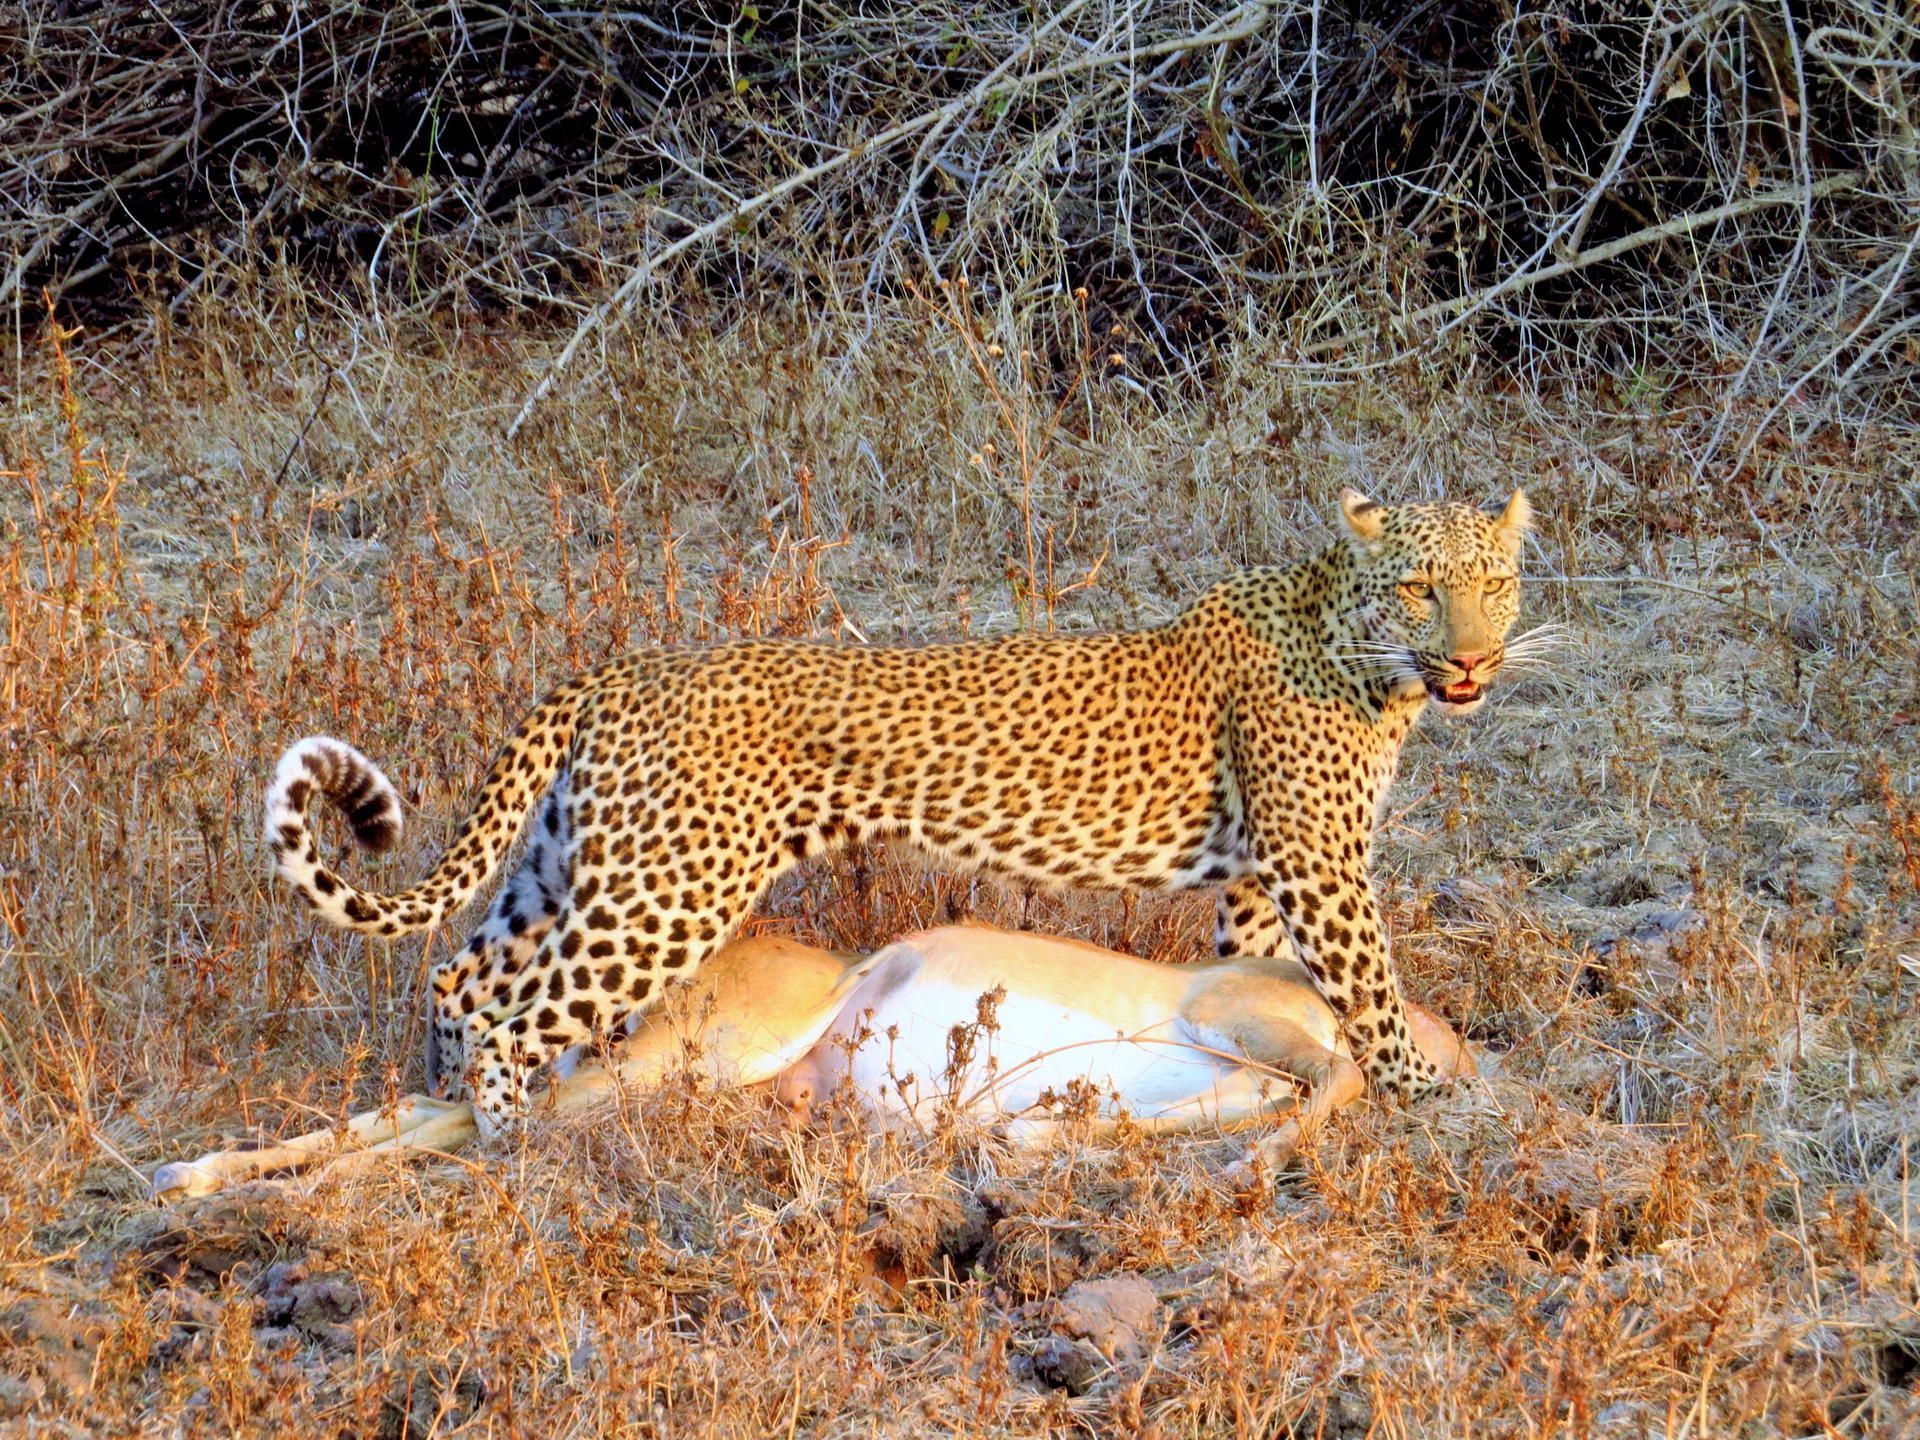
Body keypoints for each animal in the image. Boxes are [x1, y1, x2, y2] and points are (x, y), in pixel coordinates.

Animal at [266, 491, 1528, 1136]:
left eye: (1497, 584)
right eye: (1421, 586)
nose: (1474, 659)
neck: (1366, 654)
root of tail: (618, 670)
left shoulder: (1263, 878)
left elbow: (1268, 965)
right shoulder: (1319, 866)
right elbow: (1369, 989)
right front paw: (1425, 1096)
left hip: (571, 869)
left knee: (459, 976)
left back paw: (447, 1096)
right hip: (665, 895)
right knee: (513, 1021)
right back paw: (516, 1145)